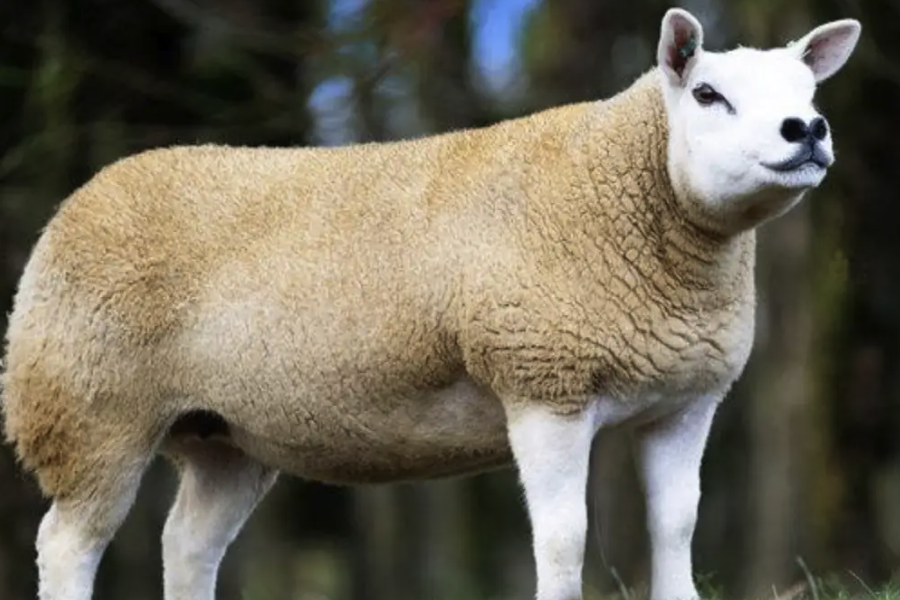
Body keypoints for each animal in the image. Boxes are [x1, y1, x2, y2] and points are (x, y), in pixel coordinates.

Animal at [0, 8, 856, 600]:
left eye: (810, 92)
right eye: (707, 94)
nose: (807, 128)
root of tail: (74, 205)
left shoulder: (685, 399)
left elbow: (678, 525)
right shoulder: (542, 377)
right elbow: (563, 537)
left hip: (225, 433)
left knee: (186, 543)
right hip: (90, 407)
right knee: (67, 542)